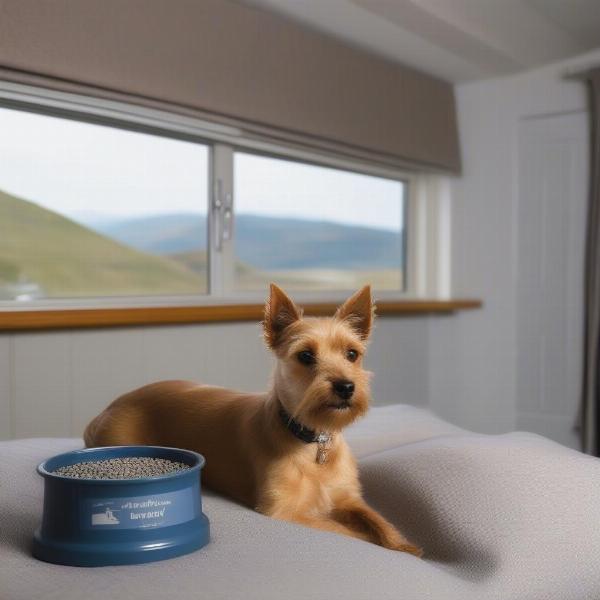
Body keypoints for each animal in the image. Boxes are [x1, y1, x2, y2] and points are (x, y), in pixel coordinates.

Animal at [84, 284, 422, 556]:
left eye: (352, 354)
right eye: (306, 356)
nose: (346, 386)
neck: (313, 441)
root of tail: (108, 409)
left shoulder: (348, 498)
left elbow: (379, 522)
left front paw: (405, 545)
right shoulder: (284, 512)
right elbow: (350, 534)